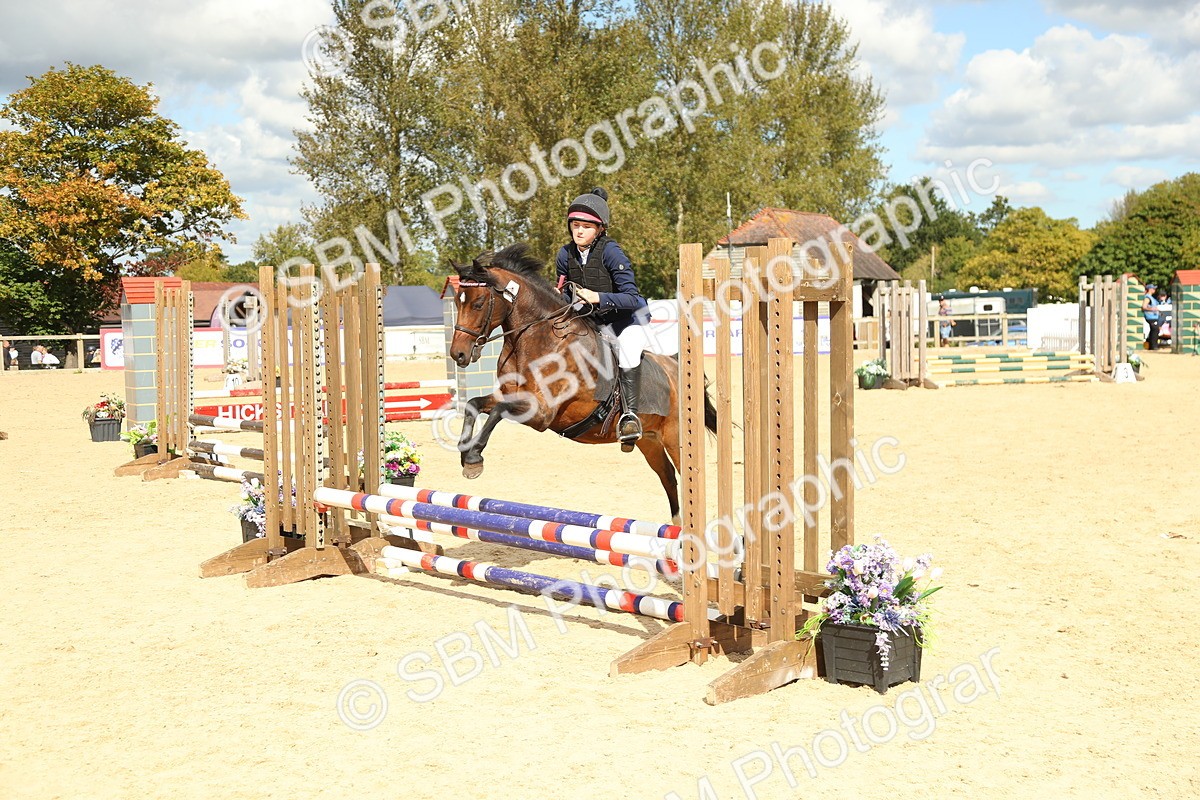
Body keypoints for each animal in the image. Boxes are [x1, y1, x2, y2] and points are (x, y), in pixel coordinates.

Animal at [448, 243, 716, 523]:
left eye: (478, 303)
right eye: (457, 301)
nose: (458, 354)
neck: (538, 338)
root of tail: (676, 368)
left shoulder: (542, 412)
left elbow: (497, 412)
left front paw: (474, 456)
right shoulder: (510, 396)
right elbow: (474, 404)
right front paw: (465, 452)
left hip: (675, 438)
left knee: (689, 476)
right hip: (649, 441)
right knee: (668, 477)